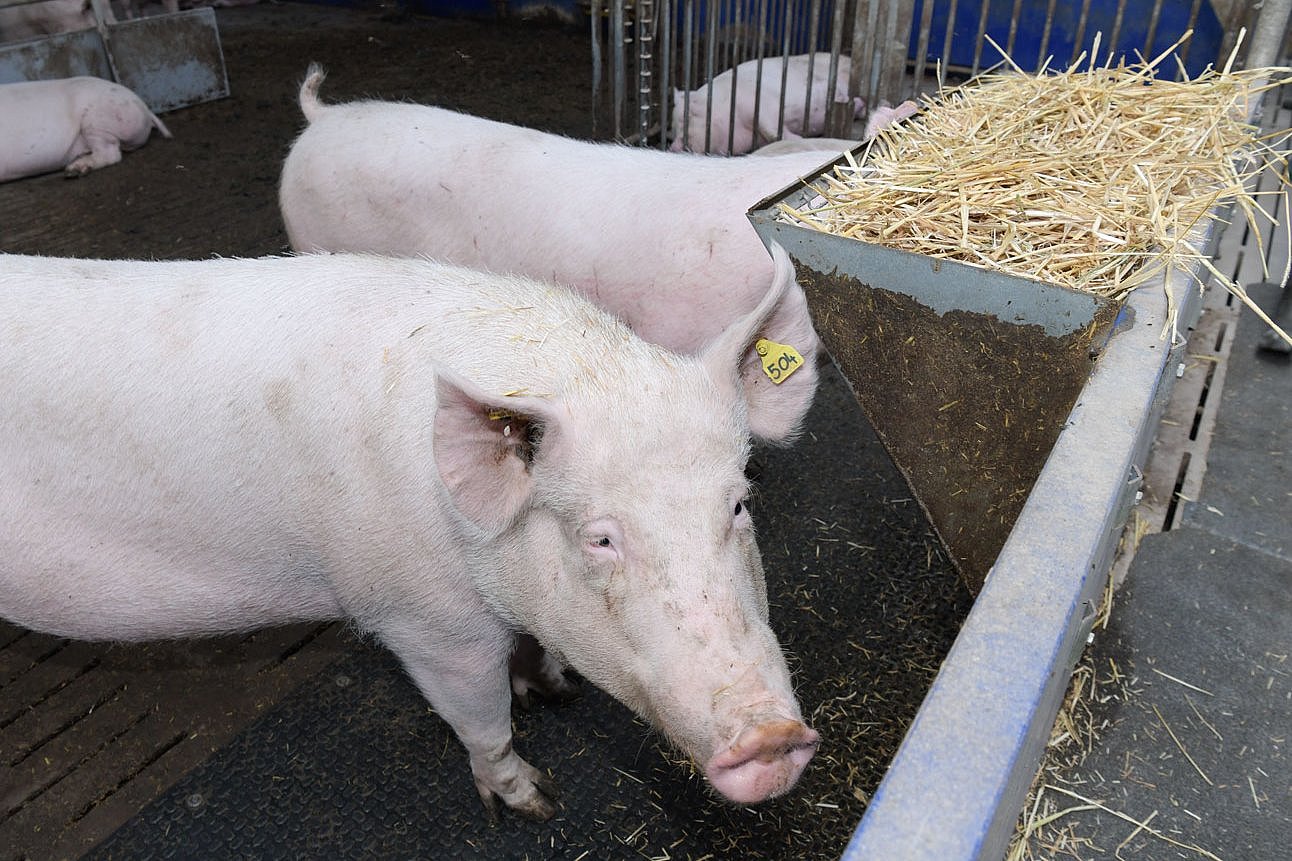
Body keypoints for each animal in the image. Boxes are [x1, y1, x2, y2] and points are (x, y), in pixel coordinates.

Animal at [671, 52, 863, 155]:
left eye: (689, 116)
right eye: (674, 127)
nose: (673, 147)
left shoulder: (761, 103)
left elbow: (774, 131)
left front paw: (798, 139)